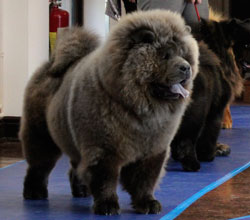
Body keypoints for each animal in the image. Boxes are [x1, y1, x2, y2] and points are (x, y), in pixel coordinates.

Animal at [19, 10, 199, 215]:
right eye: (165, 56)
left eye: (184, 55)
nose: (186, 67)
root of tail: (49, 65)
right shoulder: (103, 149)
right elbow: (105, 180)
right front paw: (107, 205)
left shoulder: (153, 150)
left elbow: (145, 180)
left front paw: (147, 203)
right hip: (41, 135)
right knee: (39, 166)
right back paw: (34, 192)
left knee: (75, 167)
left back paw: (82, 190)